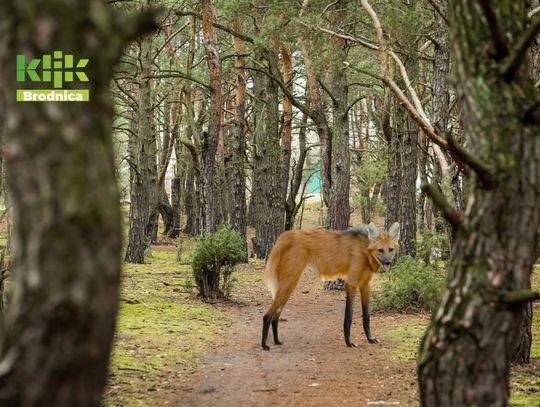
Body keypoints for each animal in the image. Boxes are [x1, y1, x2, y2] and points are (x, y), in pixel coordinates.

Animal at [262, 223, 400, 350]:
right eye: (380, 250)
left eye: (391, 249)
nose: (388, 262)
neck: (365, 250)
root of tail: (284, 236)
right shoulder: (351, 284)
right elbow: (348, 318)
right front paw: (349, 343)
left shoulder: (365, 285)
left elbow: (366, 316)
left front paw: (370, 339)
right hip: (289, 282)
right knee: (267, 315)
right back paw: (264, 345)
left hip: (289, 286)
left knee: (276, 315)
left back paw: (277, 341)